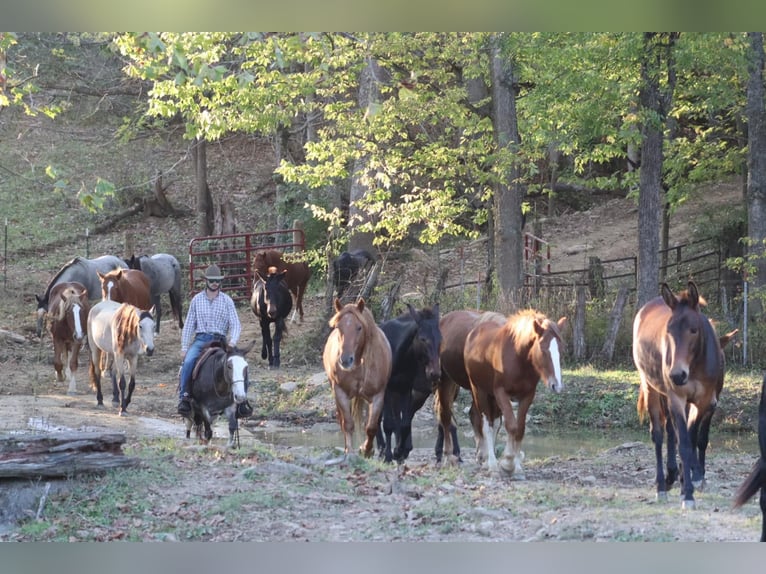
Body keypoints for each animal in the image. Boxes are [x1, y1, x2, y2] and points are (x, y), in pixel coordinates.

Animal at [322, 300, 392, 462]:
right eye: (338, 327)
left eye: (359, 327)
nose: (345, 360)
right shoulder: (340, 393)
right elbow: (347, 424)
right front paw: (350, 451)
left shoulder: (378, 396)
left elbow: (371, 427)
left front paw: (366, 450)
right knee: (342, 420)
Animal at [378, 306, 444, 464]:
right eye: (423, 339)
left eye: (441, 339)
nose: (435, 373)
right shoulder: (387, 389)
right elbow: (388, 424)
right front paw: (389, 455)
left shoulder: (406, 388)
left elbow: (404, 423)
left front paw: (399, 451)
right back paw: (381, 449)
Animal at [432, 310, 510, 464]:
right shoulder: (480, 389)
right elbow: (484, 419)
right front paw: (485, 455)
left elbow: (494, 421)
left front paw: (485, 454)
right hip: (445, 381)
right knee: (445, 414)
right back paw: (448, 454)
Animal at [464, 308, 568, 480]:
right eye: (543, 348)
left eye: (560, 349)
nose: (556, 385)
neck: (518, 358)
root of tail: (474, 332)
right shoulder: (501, 393)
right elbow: (511, 426)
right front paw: (507, 463)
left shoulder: (527, 396)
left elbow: (519, 429)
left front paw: (516, 467)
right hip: (479, 391)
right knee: (487, 426)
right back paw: (491, 465)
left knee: (495, 424)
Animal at [636, 282, 736, 510]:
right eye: (669, 331)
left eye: (693, 330)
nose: (677, 374)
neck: (695, 364)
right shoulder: (677, 398)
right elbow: (684, 443)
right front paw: (688, 492)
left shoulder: (705, 402)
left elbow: (694, 438)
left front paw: (692, 479)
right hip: (651, 388)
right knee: (658, 435)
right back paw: (662, 486)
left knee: (672, 431)